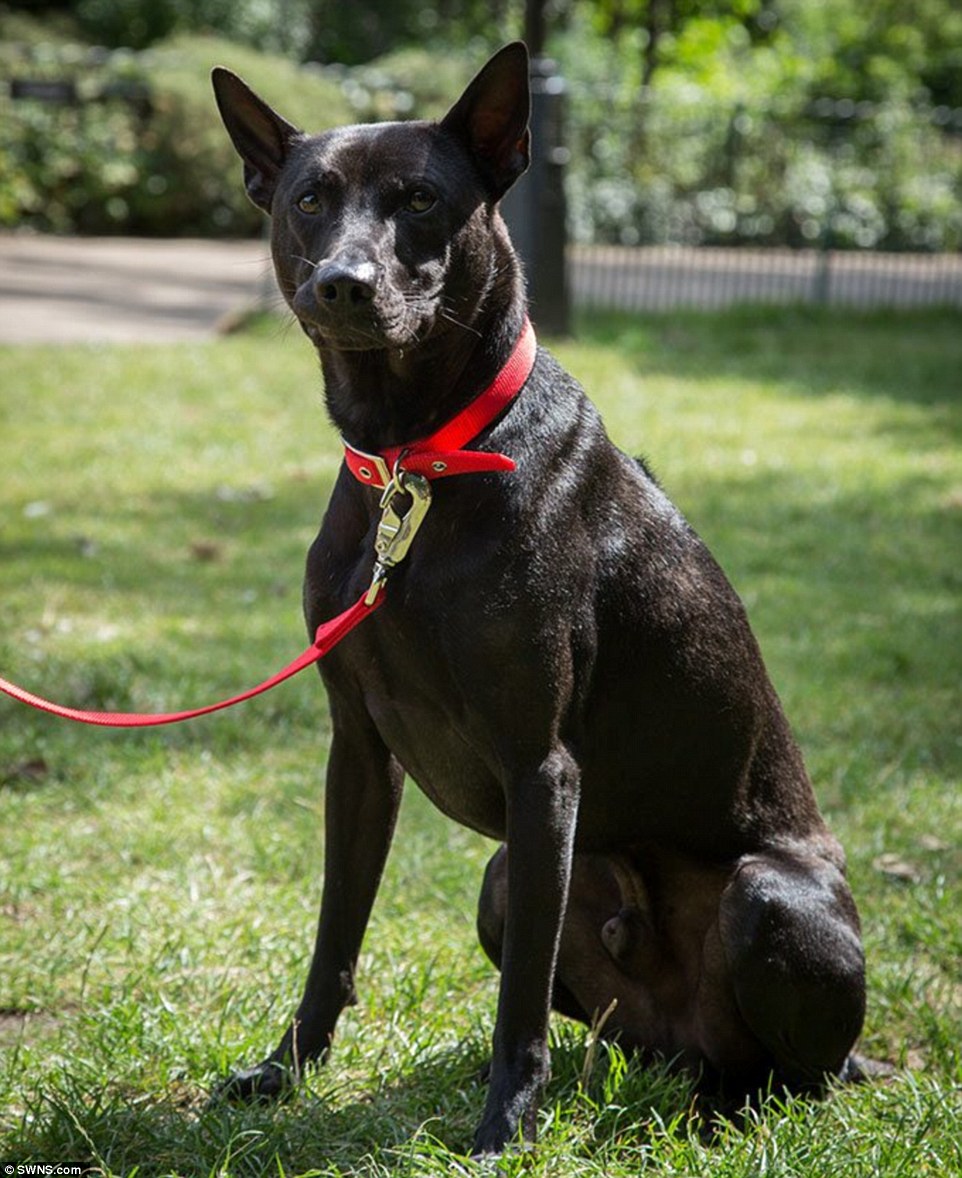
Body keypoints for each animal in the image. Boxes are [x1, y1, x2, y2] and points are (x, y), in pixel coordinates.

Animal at [214, 43, 866, 1149]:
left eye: (421, 198)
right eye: (309, 199)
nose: (342, 284)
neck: (418, 461)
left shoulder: (540, 770)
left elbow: (517, 989)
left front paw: (503, 1125)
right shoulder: (359, 752)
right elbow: (334, 933)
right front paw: (287, 1069)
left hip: (765, 896)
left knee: (793, 1073)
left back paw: (723, 1111)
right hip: (507, 884)